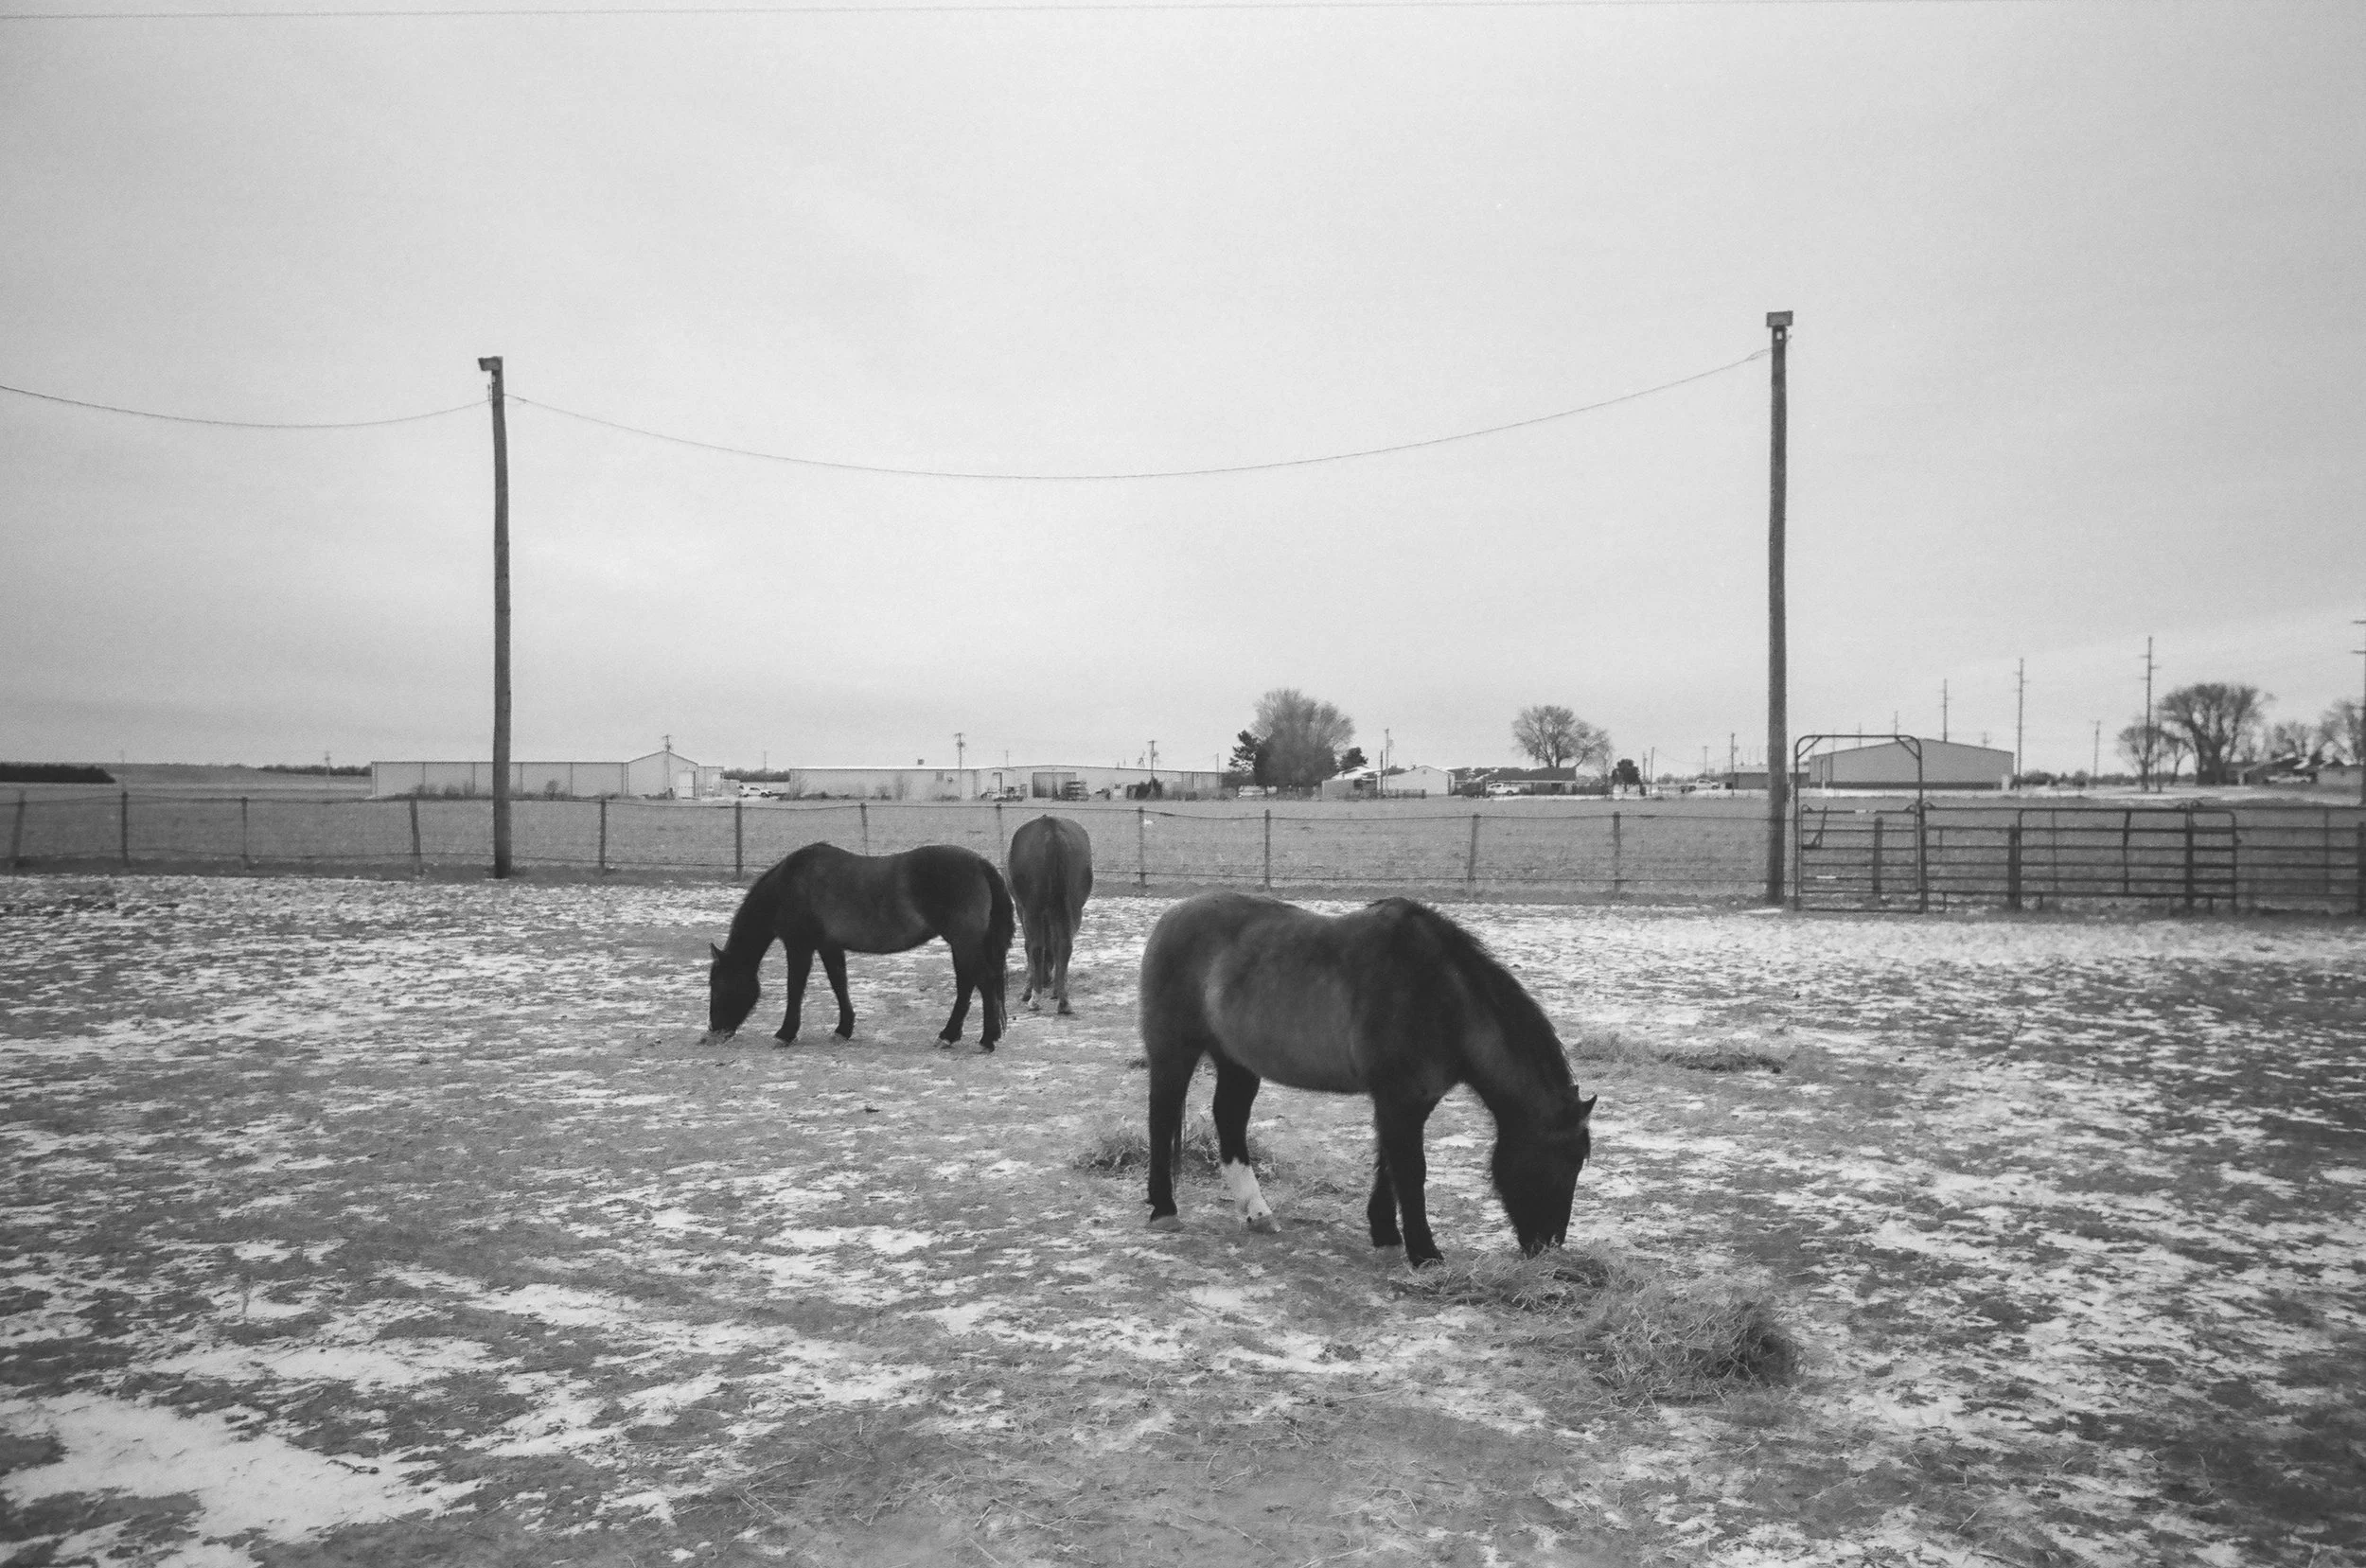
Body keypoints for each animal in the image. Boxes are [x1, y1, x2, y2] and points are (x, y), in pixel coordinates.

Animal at [705, 842, 1014, 1051]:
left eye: (718, 986)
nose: (713, 1033)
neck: (790, 884)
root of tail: (979, 863)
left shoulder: (799, 946)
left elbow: (795, 988)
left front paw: (786, 1033)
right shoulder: (828, 946)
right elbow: (839, 983)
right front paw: (843, 1029)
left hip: (963, 942)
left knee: (984, 982)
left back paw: (984, 1039)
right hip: (962, 944)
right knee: (968, 985)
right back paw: (951, 1035)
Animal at [1005, 815, 1093, 1015]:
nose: (1046, 980)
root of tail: (1051, 829)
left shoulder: (1022, 908)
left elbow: (1030, 947)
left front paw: (1028, 990)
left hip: (1032, 909)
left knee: (1036, 947)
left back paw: (1035, 998)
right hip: (1073, 907)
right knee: (1065, 945)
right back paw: (1064, 1001)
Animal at [1138, 892, 1595, 1266]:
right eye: (1566, 1158)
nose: (1548, 1245)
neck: (1440, 997)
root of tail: (1170, 917)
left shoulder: (1407, 1101)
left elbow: (1388, 1165)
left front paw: (1387, 1235)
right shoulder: (1400, 1099)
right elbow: (1410, 1170)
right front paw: (1425, 1253)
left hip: (1237, 1061)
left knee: (1229, 1118)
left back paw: (1257, 1212)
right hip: (1173, 1053)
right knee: (1161, 1119)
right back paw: (1164, 1210)